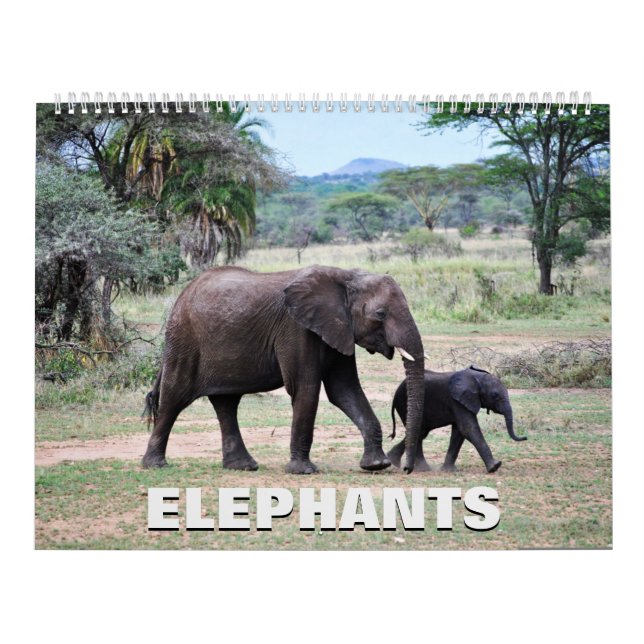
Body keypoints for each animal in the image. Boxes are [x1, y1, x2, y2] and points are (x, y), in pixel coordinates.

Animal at [142, 265, 426, 474]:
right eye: (380, 314)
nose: (406, 469)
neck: (346, 276)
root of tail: (182, 294)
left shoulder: (338, 329)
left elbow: (344, 390)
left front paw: (376, 465)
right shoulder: (296, 329)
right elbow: (306, 388)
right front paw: (304, 471)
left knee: (226, 403)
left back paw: (243, 466)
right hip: (184, 338)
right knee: (174, 397)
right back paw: (155, 465)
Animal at [387, 366, 526, 473]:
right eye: (494, 396)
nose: (525, 437)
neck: (476, 377)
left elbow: (459, 432)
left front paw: (449, 471)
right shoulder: (456, 400)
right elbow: (468, 428)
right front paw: (495, 467)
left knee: (420, 432)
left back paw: (402, 463)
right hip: (404, 403)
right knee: (419, 432)